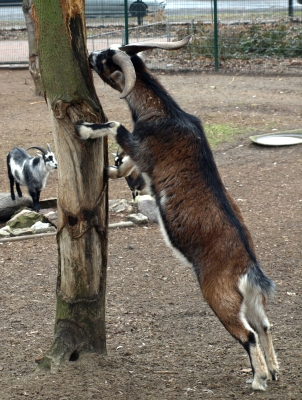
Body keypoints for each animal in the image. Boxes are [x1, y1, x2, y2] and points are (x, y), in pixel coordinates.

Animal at [76, 35, 280, 390]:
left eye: (105, 59)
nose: (89, 54)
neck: (166, 114)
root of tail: (249, 269)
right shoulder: (142, 159)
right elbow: (126, 164)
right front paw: (110, 168)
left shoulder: (143, 149)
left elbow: (115, 126)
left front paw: (85, 129)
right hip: (252, 301)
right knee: (264, 326)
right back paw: (275, 371)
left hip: (220, 299)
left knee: (248, 334)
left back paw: (258, 380)